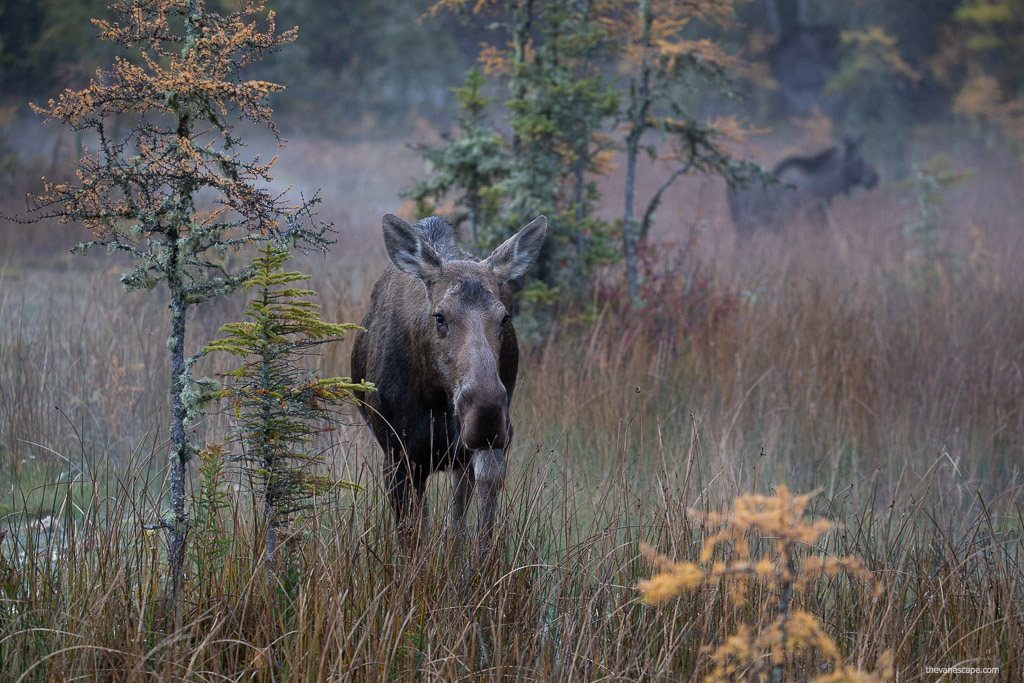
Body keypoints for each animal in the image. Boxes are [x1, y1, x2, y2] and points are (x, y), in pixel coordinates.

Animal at [350, 214, 548, 548]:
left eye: (505, 318)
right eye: (439, 317)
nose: (485, 416)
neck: (434, 396)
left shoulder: (476, 452)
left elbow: (476, 526)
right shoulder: (398, 456)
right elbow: (410, 537)